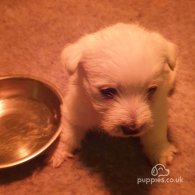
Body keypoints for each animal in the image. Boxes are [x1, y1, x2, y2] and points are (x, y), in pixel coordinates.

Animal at [49, 23, 177, 168]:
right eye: (107, 91)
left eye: (152, 90)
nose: (132, 130)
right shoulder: (74, 113)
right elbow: (68, 136)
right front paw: (59, 153)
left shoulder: (158, 111)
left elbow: (156, 135)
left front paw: (161, 152)